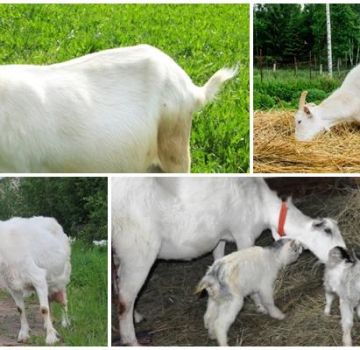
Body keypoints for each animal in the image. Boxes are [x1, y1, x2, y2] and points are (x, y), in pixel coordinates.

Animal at [0, 216, 70, 344]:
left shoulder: (38, 278)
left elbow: (44, 309)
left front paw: (51, 338)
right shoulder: (13, 286)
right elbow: (20, 310)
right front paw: (23, 335)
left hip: (61, 277)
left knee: (63, 301)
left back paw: (65, 323)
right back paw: (48, 325)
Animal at [112, 178, 346, 344]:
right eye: (327, 231)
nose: (345, 253)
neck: (261, 203)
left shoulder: (220, 238)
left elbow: (219, 257)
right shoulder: (243, 233)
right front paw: (260, 305)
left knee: (119, 285)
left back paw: (137, 316)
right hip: (138, 251)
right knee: (125, 300)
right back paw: (131, 339)